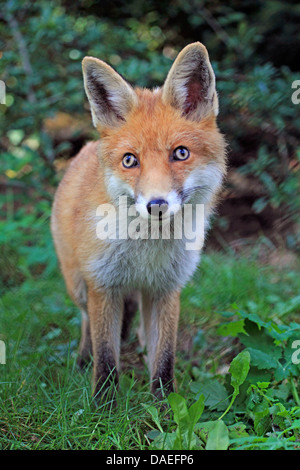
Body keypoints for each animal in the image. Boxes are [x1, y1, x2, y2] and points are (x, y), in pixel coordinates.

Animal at [50, 42, 226, 404]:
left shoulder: (167, 288)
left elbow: (165, 356)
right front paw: (103, 405)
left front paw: (164, 404)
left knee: (144, 333)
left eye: (180, 153)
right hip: (78, 285)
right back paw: (82, 360)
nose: (156, 205)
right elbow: (106, 354)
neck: (146, 250)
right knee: (87, 323)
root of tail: (85, 148)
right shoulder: (103, 285)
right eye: (130, 160)